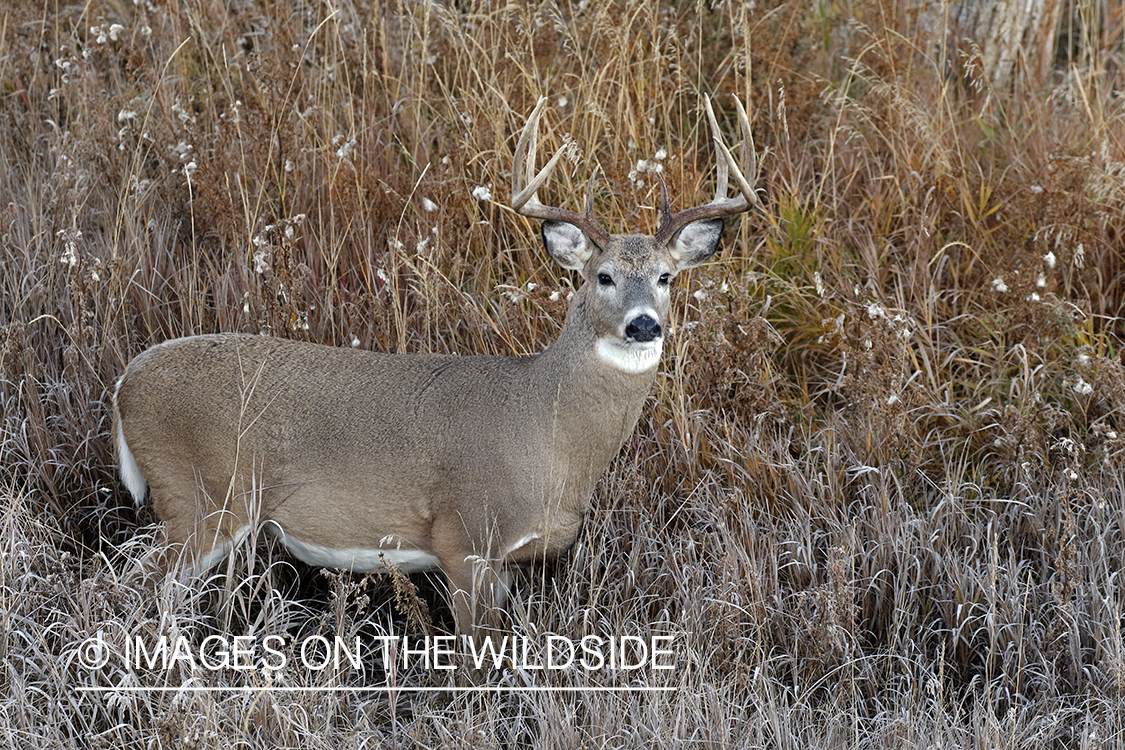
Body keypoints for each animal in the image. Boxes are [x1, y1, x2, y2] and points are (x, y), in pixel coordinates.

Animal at [114, 93, 760, 638]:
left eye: (666, 277)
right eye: (602, 276)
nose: (644, 324)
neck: (548, 432)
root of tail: (123, 383)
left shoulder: (506, 561)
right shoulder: (464, 536)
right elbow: (477, 658)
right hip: (199, 493)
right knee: (133, 584)